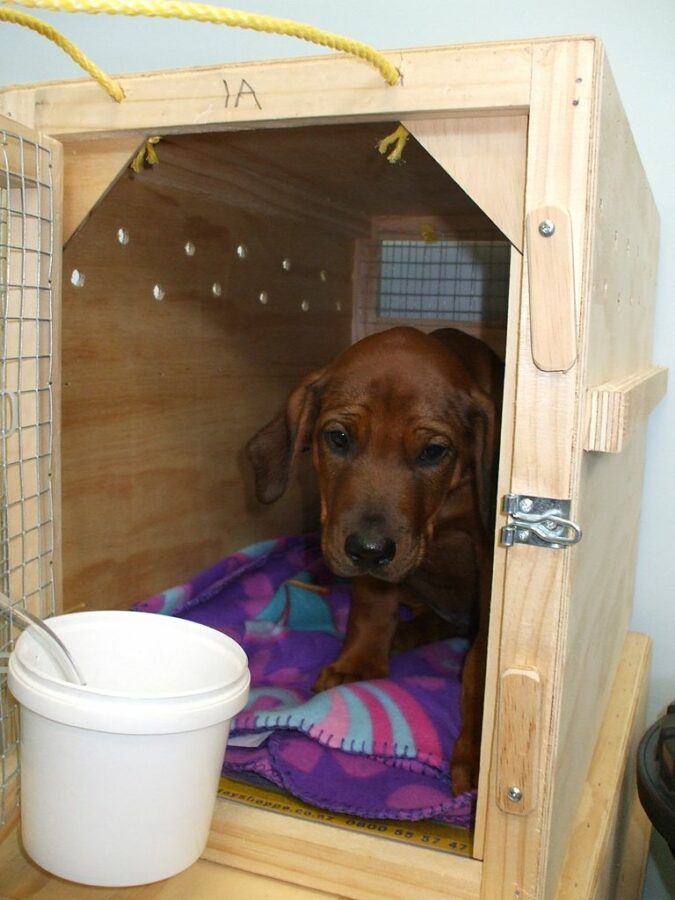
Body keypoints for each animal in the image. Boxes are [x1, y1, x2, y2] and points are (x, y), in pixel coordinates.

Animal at [248, 326, 502, 792]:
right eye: (339, 438)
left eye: (433, 451)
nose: (368, 550)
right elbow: (372, 604)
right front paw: (358, 664)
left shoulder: (489, 552)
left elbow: (483, 655)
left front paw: (478, 748)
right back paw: (406, 633)